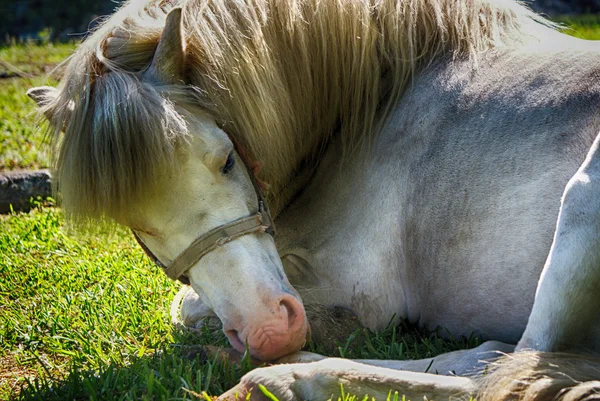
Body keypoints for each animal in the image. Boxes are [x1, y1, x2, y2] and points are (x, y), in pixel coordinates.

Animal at [30, 0, 600, 396]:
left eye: (227, 158)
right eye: (139, 225)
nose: (268, 331)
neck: (377, 101)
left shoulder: (356, 286)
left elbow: (184, 306)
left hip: (580, 204)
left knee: (497, 375)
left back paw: (280, 377)